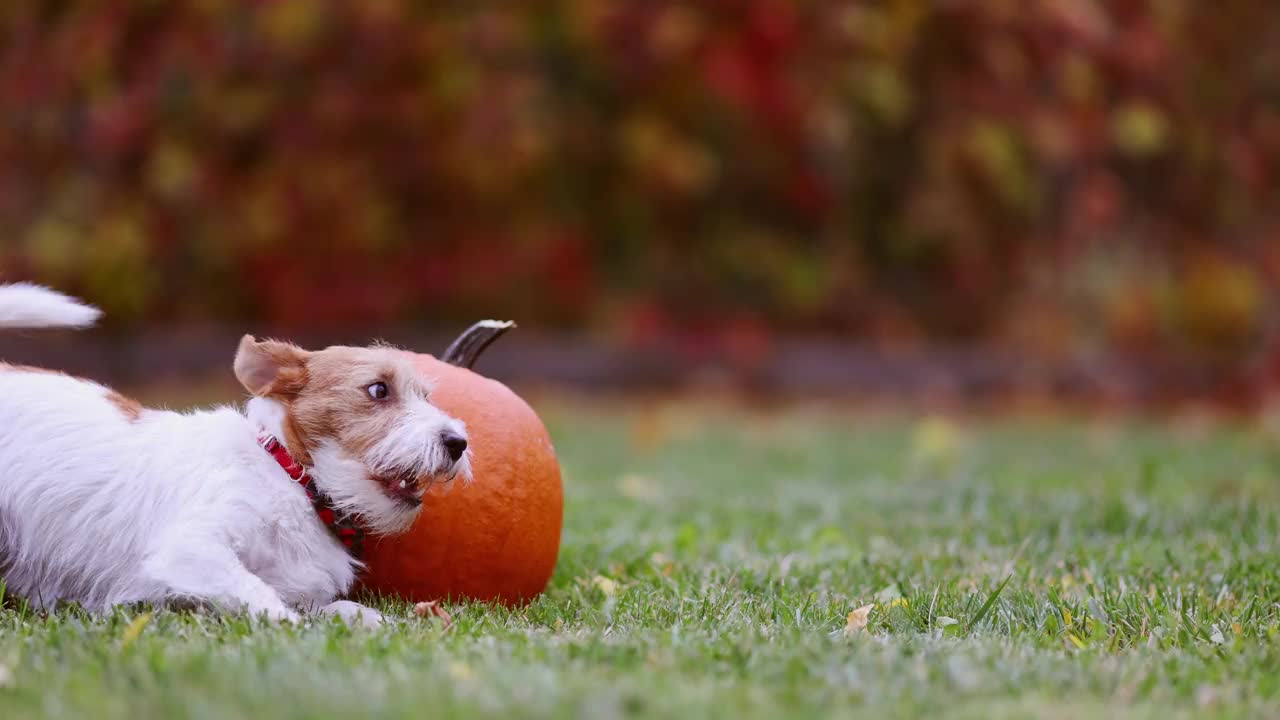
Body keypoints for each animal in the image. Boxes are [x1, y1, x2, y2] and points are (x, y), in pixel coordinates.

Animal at [0, 283, 471, 625]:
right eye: (378, 389)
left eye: (426, 396)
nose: (458, 443)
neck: (292, 478)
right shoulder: (193, 549)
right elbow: (265, 600)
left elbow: (343, 610)